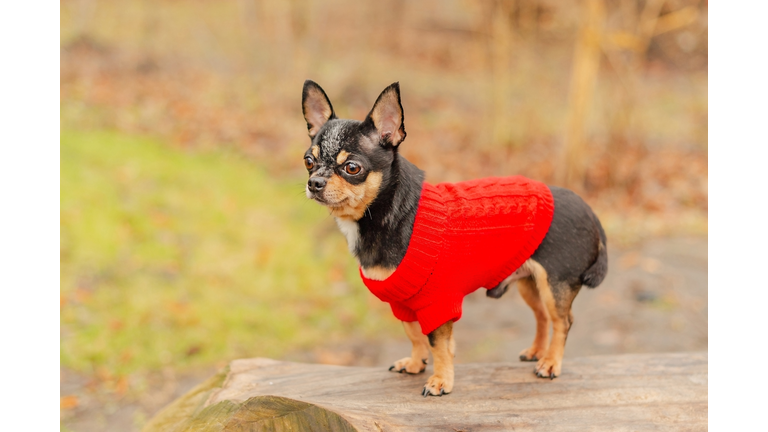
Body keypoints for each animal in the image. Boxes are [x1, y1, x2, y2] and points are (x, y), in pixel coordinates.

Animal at [300, 79, 608, 396]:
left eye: (352, 168)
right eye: (308, 161)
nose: (314, 183)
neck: (390, 212)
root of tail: (591, 212)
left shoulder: (438, 304)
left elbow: (439, 345)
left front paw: (441, 380)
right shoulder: (403, 304)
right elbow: (413, 334)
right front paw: (416, 363)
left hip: (555, 286)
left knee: (563, 321)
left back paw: (551, 362)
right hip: (530, 284)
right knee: (543, 316)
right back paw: (537, 352)